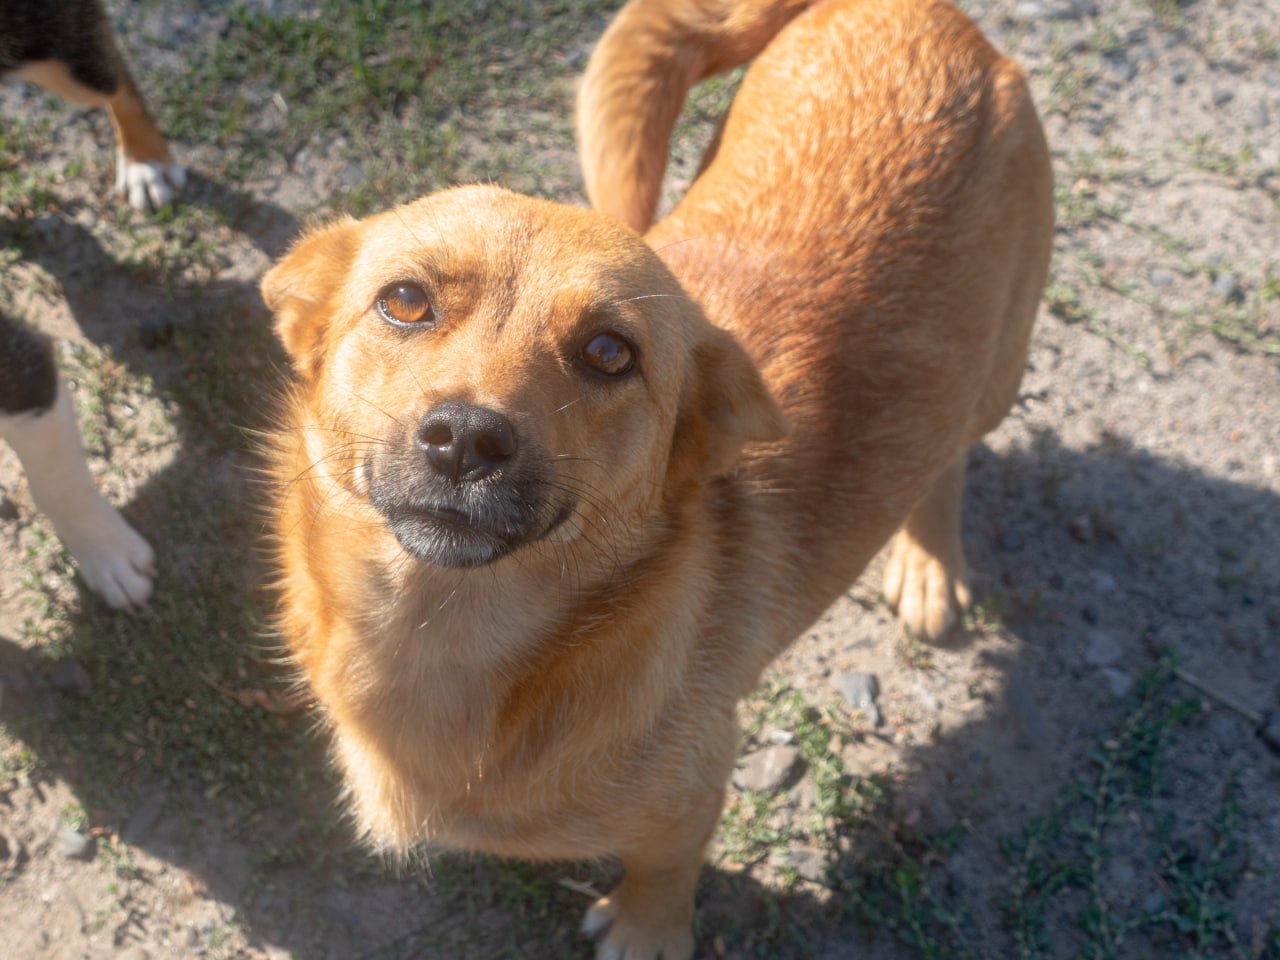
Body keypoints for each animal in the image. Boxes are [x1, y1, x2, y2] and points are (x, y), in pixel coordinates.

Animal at [257, 1, 1049, 960]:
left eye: (609, 352)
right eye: (404, 301)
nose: (467, 438)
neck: (443, 634)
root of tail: (923, 14)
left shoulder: (692, 792)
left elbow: (663, 874)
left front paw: (644, 930)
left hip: (999, 371)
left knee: (954, 450)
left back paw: (931, 561)